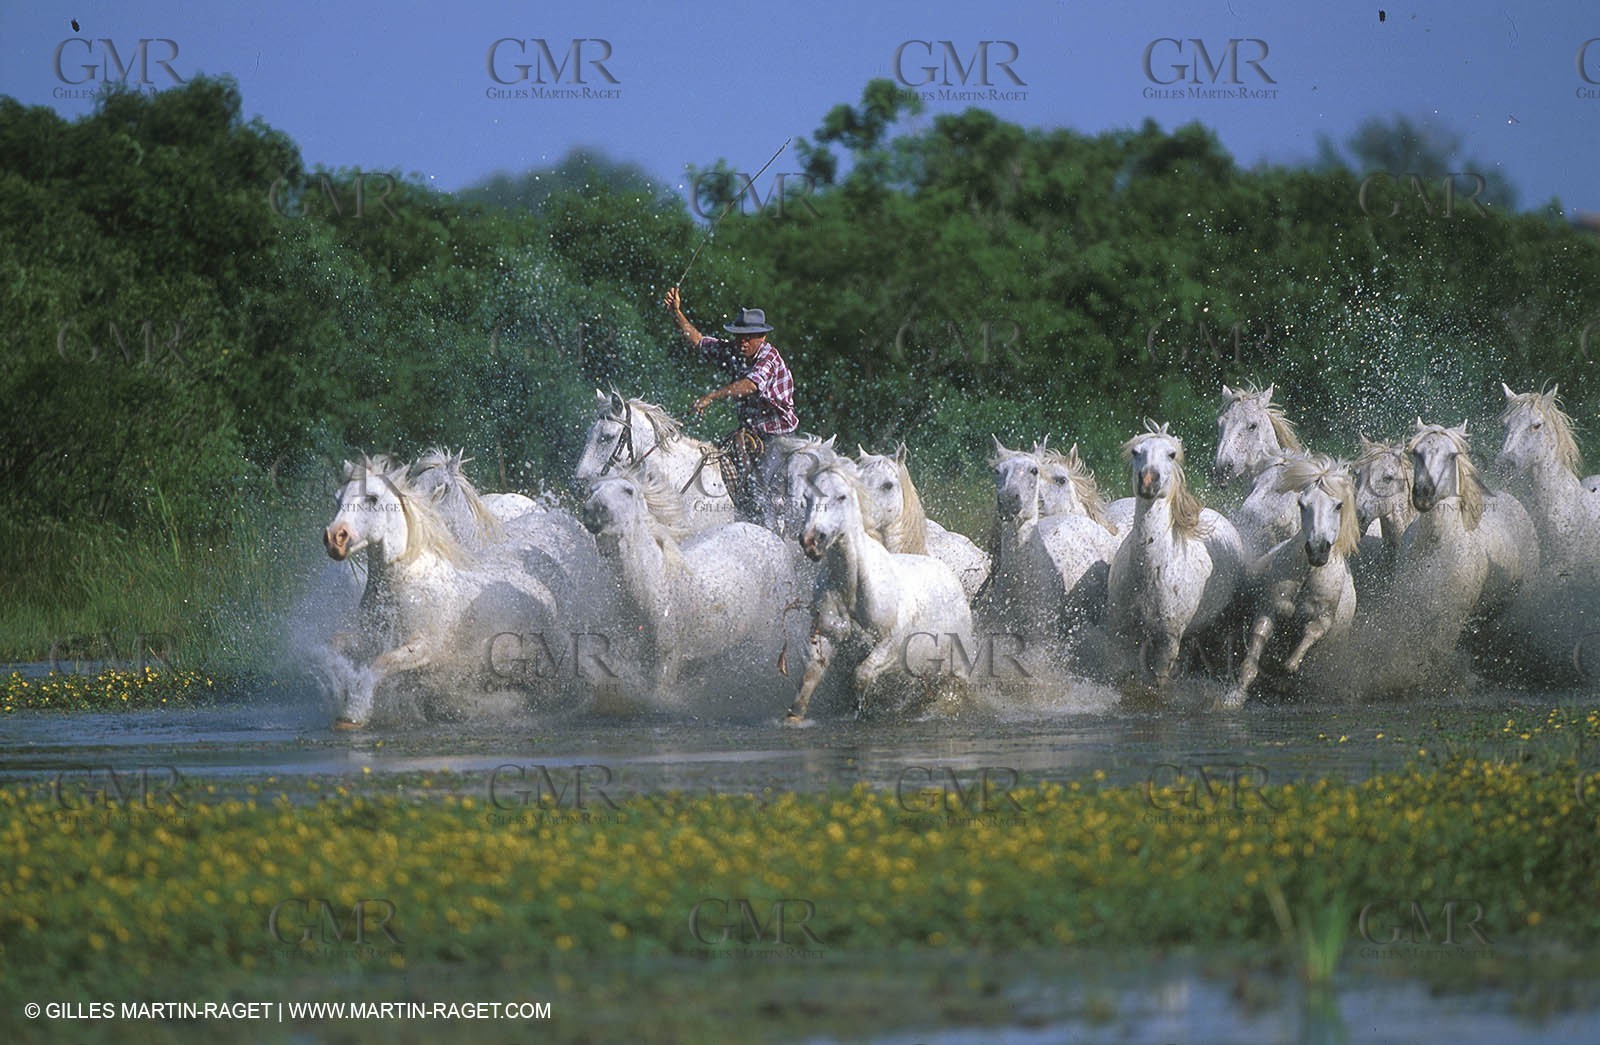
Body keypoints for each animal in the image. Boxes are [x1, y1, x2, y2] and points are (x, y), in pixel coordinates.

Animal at [320, 455, 558, 728]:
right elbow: (335, 646)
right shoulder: (372, 638)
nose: (334, 539)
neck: (404, 586)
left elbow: (381, 662)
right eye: (337, 498)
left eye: (372, 498)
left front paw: (354, 713)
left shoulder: (425, 647)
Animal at [581, 468, 798, 702]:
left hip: (768, 633)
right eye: (592, 490)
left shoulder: (669, 658)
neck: (654, 586)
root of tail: (774, 537)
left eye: (628, 491)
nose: (591, 511)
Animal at [785, 460, 974, 721]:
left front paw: (858, 710)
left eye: (841, 496)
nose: (811, 540)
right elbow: (809, 679)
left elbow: (861, 676)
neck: (854, 587)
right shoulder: (825, 635)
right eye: (807, 497)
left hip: (958, 667)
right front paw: (794, 718)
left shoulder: (891, 645)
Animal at [1106, 422, 1244, 693]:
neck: (1151, 572)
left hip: (1226, 623)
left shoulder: (1167, 642)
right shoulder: (1122, 634)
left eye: (1171, 454)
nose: (1148, 481)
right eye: (1136, 452)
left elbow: (1159, 684)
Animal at [1224, 455, 1359, 707]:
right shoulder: (1270, 609)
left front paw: (1283, 677)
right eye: (1302, 504)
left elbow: (1293, 660)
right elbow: (1251, 658)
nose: (1317, 549)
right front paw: (1234, 697)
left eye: (1338, 505)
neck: (1307, 574)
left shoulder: (1321, 621)